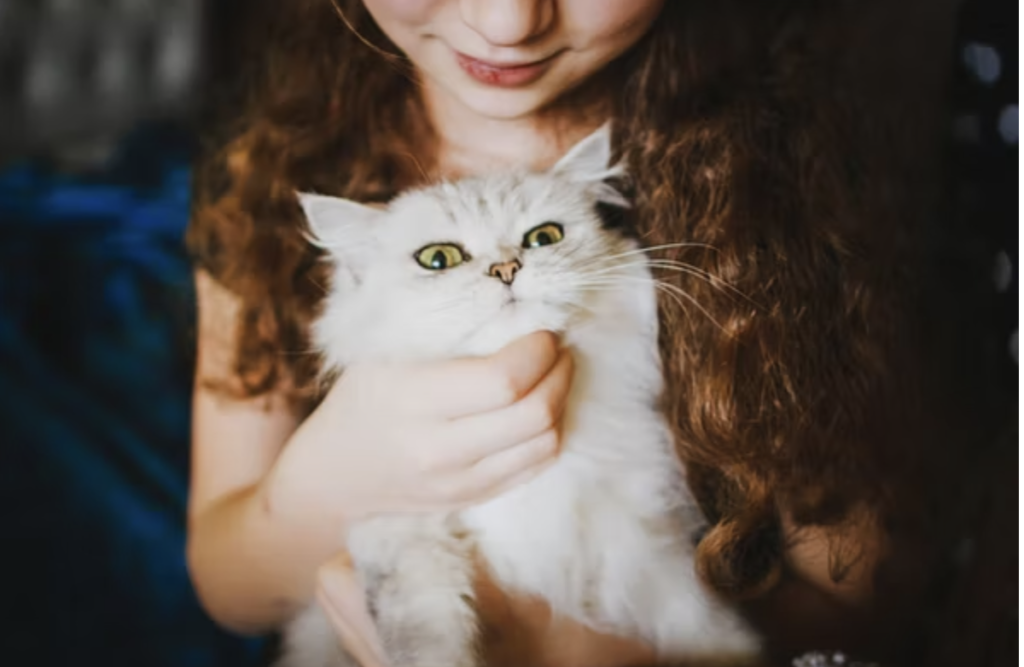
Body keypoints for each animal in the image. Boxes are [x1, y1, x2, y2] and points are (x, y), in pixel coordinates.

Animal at [278, 126, 761, 667]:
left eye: (544, 238)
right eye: (438, 259)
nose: (507, 268)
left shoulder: (641, 543)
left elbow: (701, 621)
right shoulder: (400, 532)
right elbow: (430, 631)